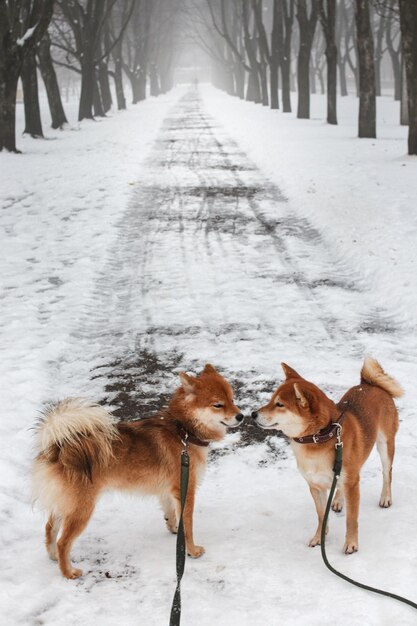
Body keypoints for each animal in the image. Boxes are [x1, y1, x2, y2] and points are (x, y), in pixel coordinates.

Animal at [33, 364, 244, 576]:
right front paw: (191, 550)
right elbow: (188, 526)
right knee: (63, 541)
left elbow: (170, 513)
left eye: (232, 399)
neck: (183, 431)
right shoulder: (185, 490)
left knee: (49, 528)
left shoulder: (168, 491)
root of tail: (59, 448)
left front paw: (173, 528)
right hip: (81, 509)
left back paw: (53, 556)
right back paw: (68, 572)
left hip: (65, 505)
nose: (241, 416)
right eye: (218, 405)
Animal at [250, 356, 400, 552]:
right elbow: (321, 515)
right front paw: (319, 537)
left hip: (385, 445)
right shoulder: (315, 485)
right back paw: (337, 500)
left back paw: (385, 497)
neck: (318, 437)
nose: (252, 414)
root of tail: (369, 384)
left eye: (279, 404)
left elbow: (351, 519)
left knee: (387, 473)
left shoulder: (352, 485)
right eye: (270, 400)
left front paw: (351, 543)